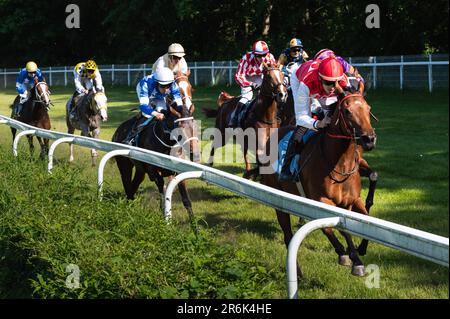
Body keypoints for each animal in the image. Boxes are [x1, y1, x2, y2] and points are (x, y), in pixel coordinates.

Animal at [262, 85, 378, 278]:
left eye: (368, 109)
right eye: (347, 111)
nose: (369, 139)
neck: (339, 162)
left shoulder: (353, 200)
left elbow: (366, 221)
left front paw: (359, 250)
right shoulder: (321, 200)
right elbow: (334, 228)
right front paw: (350, 257)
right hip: (279, 200)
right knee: (288, 236)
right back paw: (299, 273)